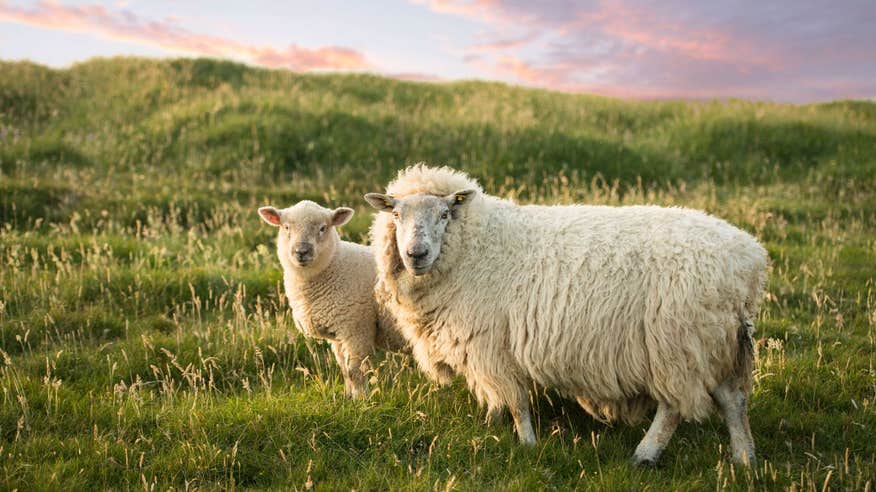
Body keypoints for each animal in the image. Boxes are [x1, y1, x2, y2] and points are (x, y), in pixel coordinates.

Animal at [258, 200, 407, 399]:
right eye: (286, 227)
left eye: (323, 228)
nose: (301, 251)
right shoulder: (337, 333)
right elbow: (344, 369)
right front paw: (348, 397)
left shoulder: (356, 328)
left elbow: (355, 370)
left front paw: (361, 399)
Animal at [365, 164, 768, 466]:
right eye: (396, 214)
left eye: (445, 214)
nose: (416, 254)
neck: (474, 247)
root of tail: (749, 260)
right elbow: (499, 397)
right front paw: (490, 425)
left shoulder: (493, 343)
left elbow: (516, 400)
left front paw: (526, 443)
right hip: (716, 340)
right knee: (734, 399)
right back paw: (744, 458)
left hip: (677, 339)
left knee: (672, 407)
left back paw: (645, 455)